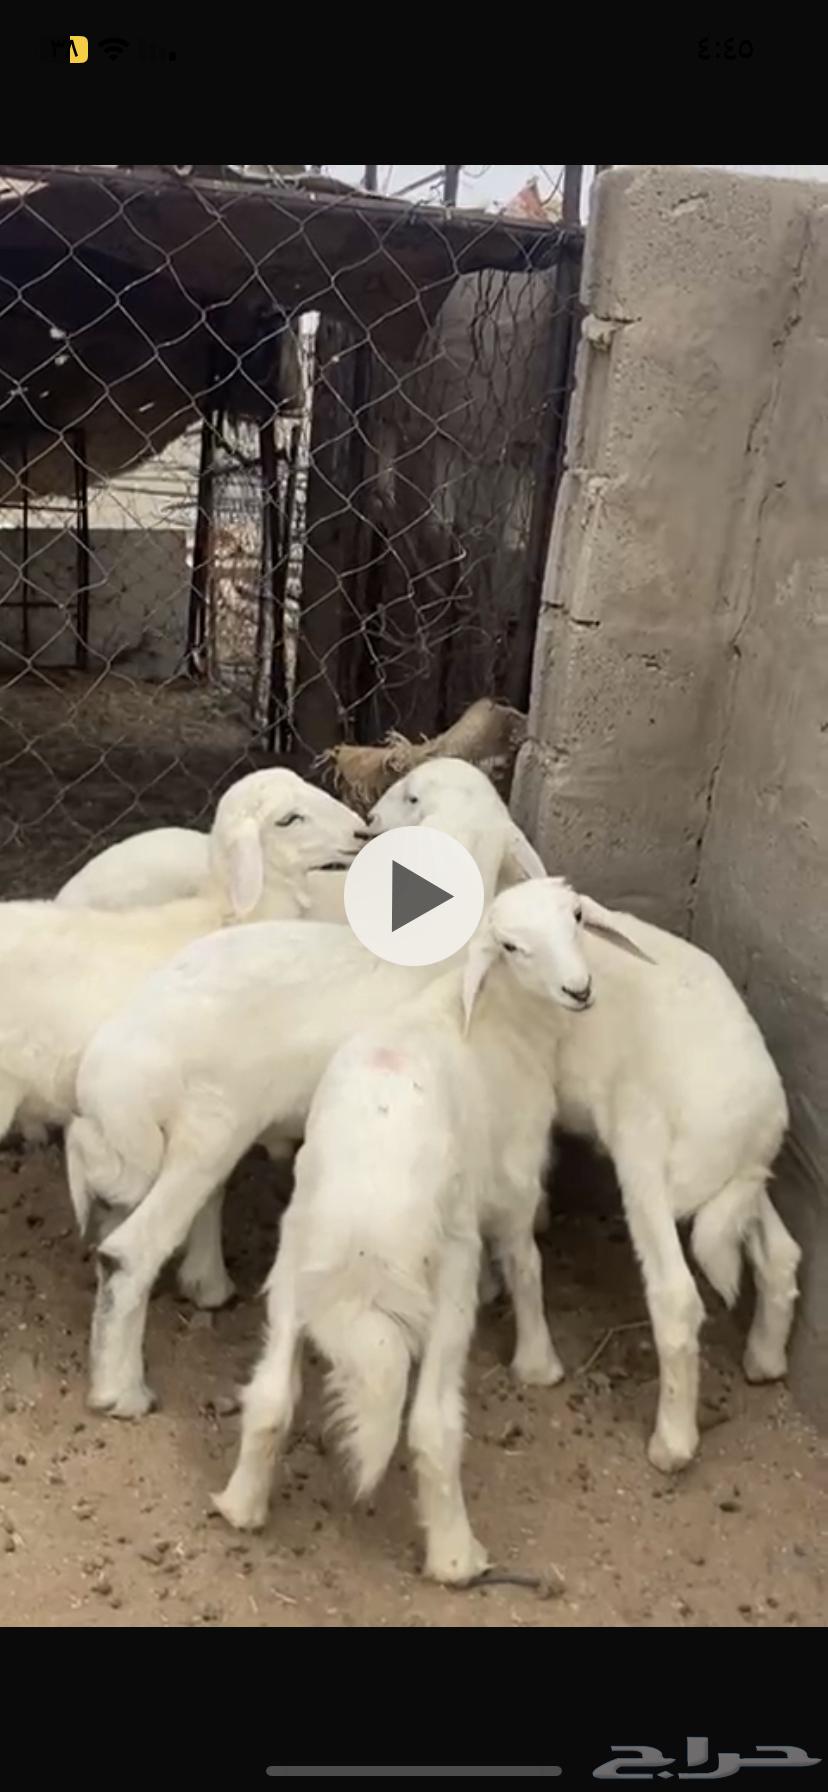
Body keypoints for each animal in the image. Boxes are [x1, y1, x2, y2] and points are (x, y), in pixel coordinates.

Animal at [66, 758, 548, 1419]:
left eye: (411, 798)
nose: (367, 824)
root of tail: (120, 1055)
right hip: (211, 1130)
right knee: (129, 1254)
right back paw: (123, 1390)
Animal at [214, 878, 649, 1582]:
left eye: (578, 917)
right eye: (512, 946)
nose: (579, 990)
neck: (493, 1016)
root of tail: (366, 1232)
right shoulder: (515, 1173)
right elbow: (526, 1261)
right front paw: (539, 1361)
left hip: (293, 1265)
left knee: (272, 1395)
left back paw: (241, 1505)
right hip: (445, 1277)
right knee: (431, 1427)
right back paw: (457, 1557)